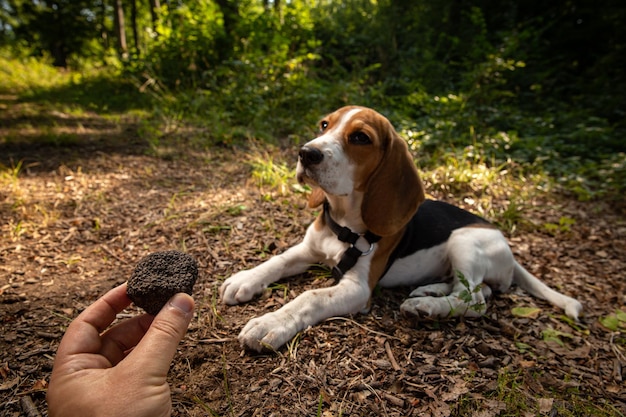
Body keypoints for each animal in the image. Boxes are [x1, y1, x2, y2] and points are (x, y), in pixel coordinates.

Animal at [219, 105, 580, 352]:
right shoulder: (307, 248)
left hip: (464, 241)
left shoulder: (357, 289)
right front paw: (245, 279)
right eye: (324, 125)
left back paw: (427, 307)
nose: (306, 153)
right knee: (477, 290)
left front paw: (271, 322)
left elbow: (310, 297)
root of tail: (506, 247)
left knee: (475, 300)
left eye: (360, 138)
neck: (344, 221)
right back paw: (428, 292)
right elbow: (277, 260)